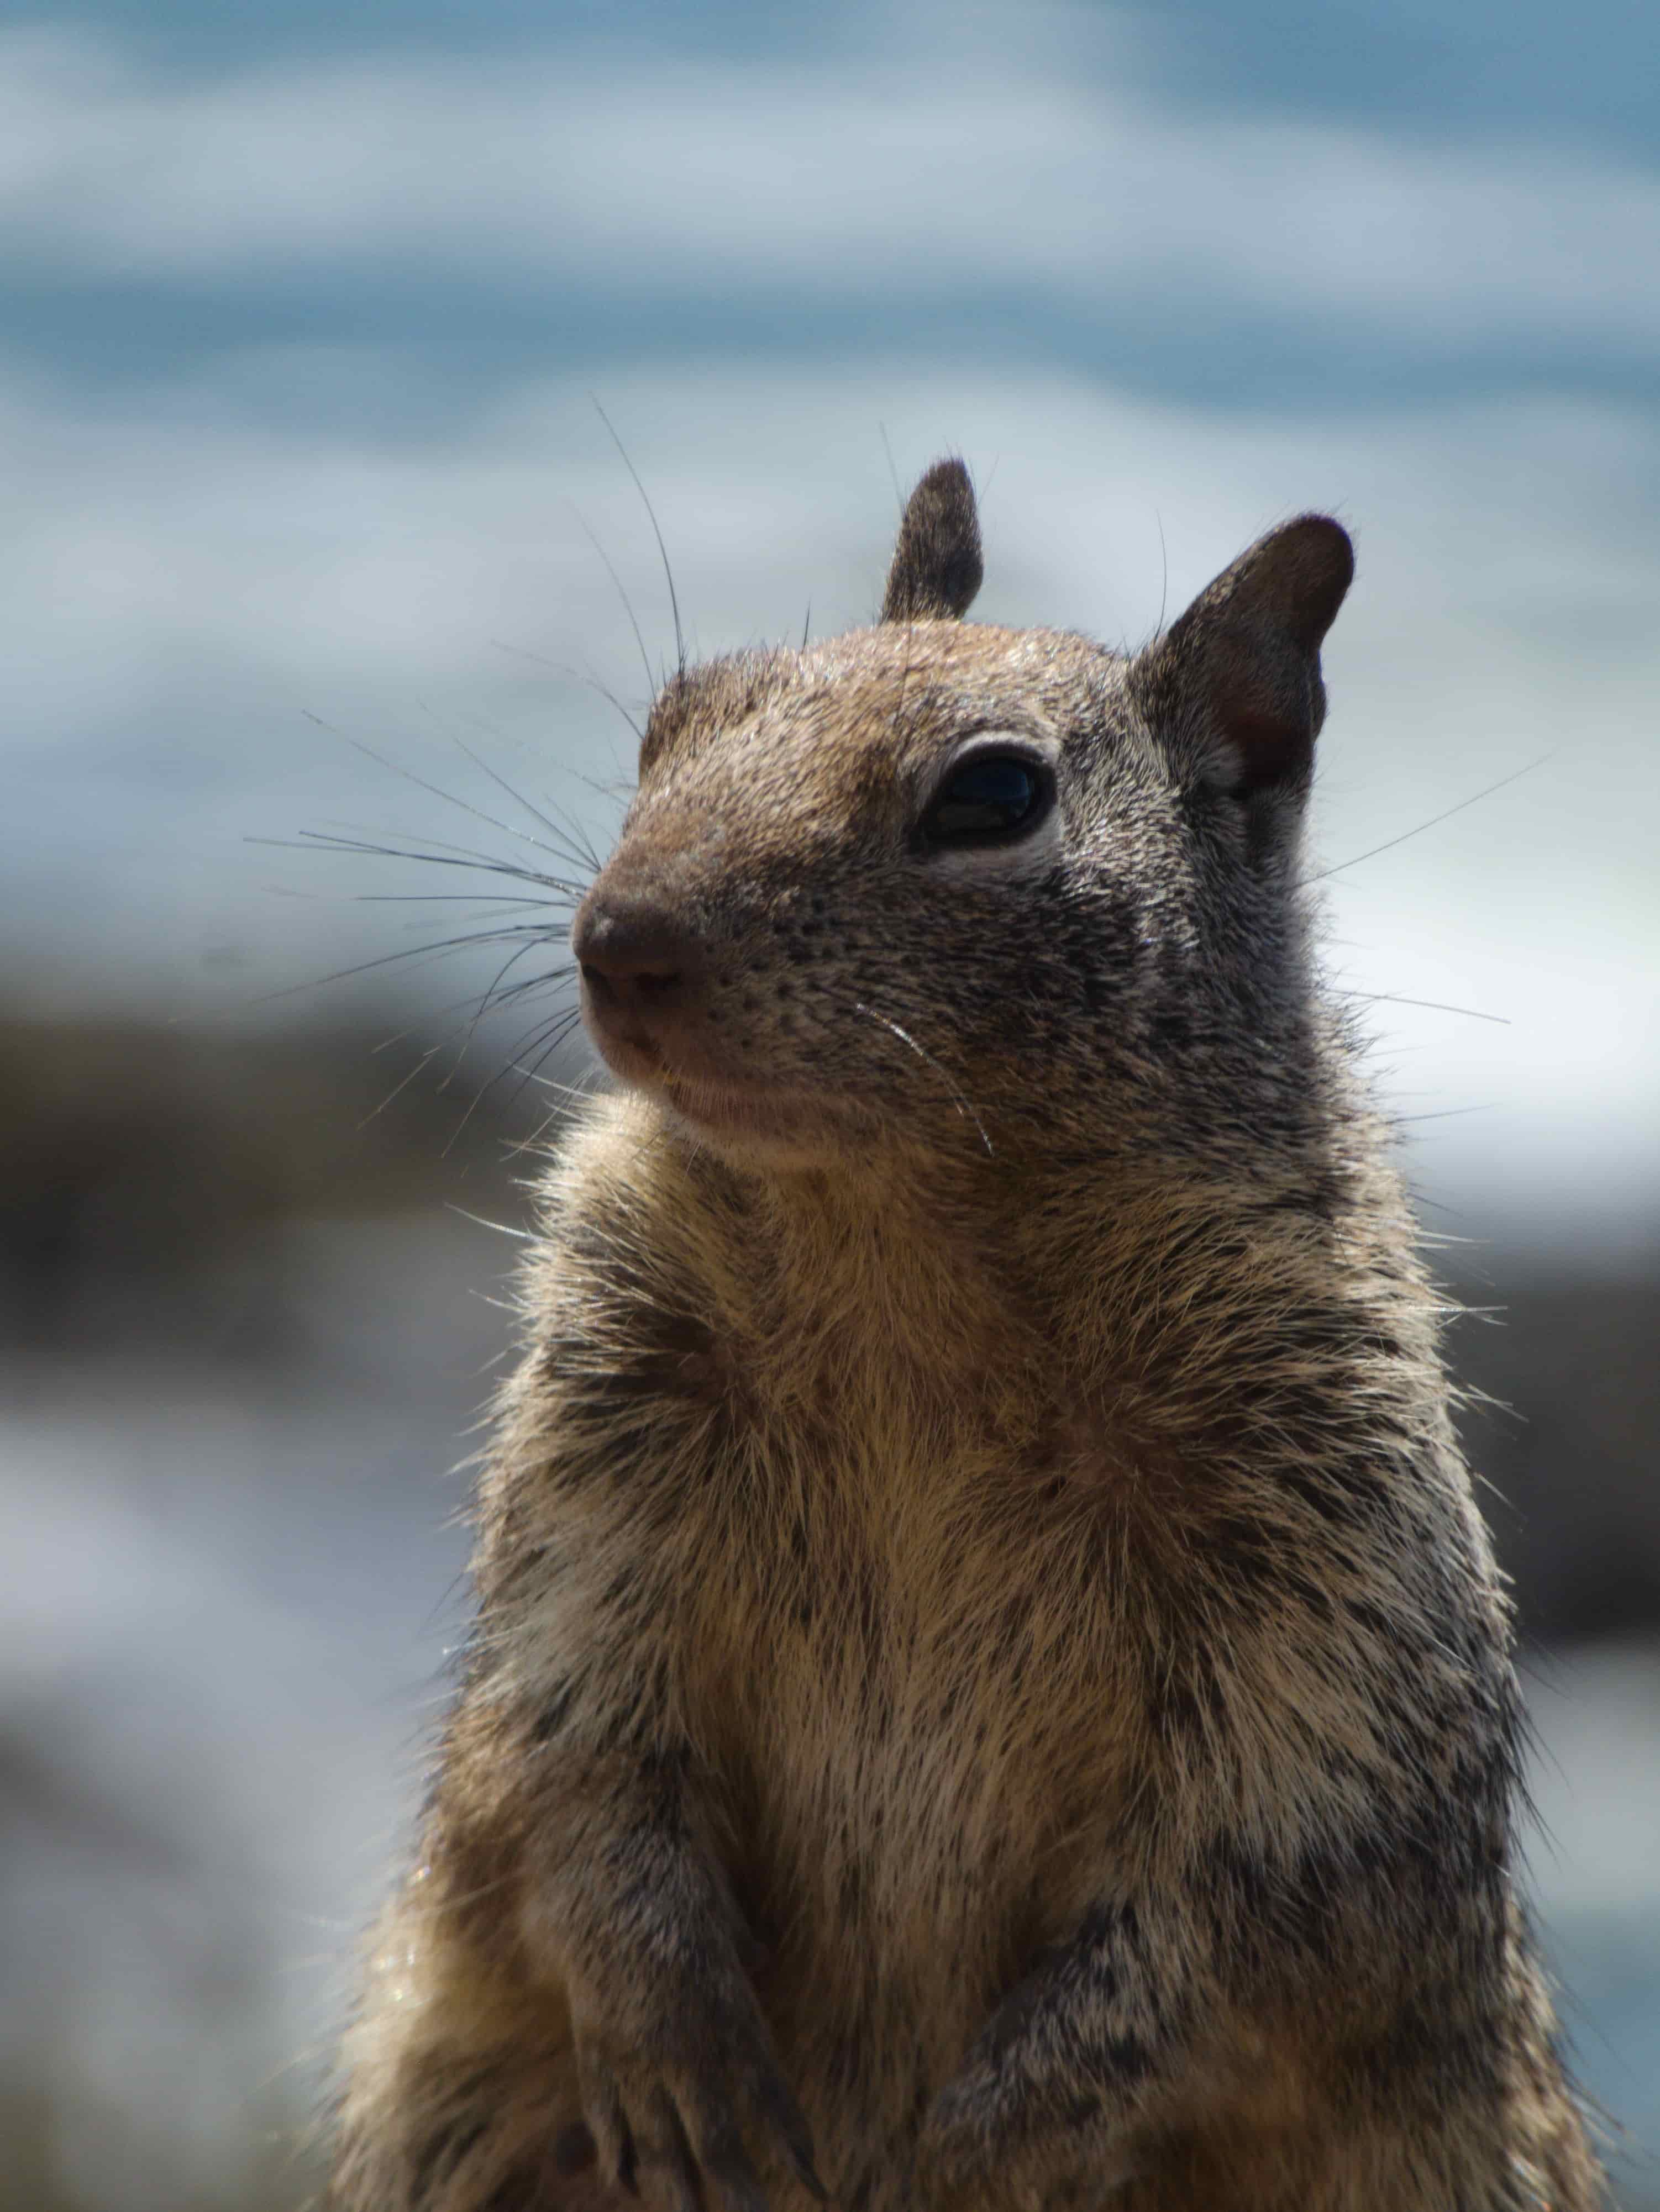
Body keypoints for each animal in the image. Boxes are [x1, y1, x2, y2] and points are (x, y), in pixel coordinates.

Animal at [327, 460, 1606, 2212]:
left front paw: (972, 2153)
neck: (901, 1258)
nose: (620, 942)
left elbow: (1236, 1916)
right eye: (673, 716)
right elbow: (568, 1739)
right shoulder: (602, 1439)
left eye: (995, 796)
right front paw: (672, 2046)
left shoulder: (1325, 1603)